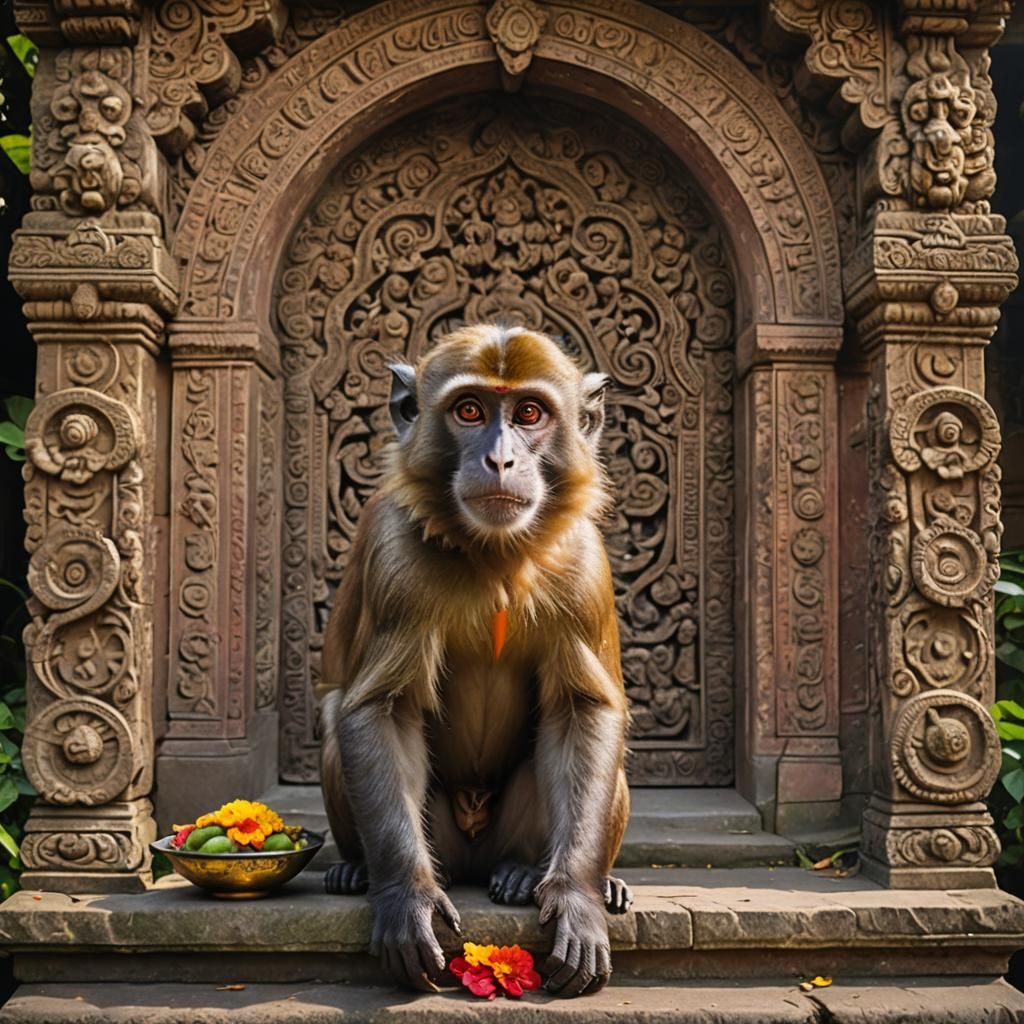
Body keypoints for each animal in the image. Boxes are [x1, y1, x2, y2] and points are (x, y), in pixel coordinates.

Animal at [317, 324, 633, 998]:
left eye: (530, 414)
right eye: (469, 411)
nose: (501, 460)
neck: (494, 552)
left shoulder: (584, 560)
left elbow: (583, 711)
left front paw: (578, 900)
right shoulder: (395, 554)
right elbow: (380, 709)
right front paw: (407, 900)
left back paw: (535, 876)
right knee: (334, 721)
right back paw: (357, 871)